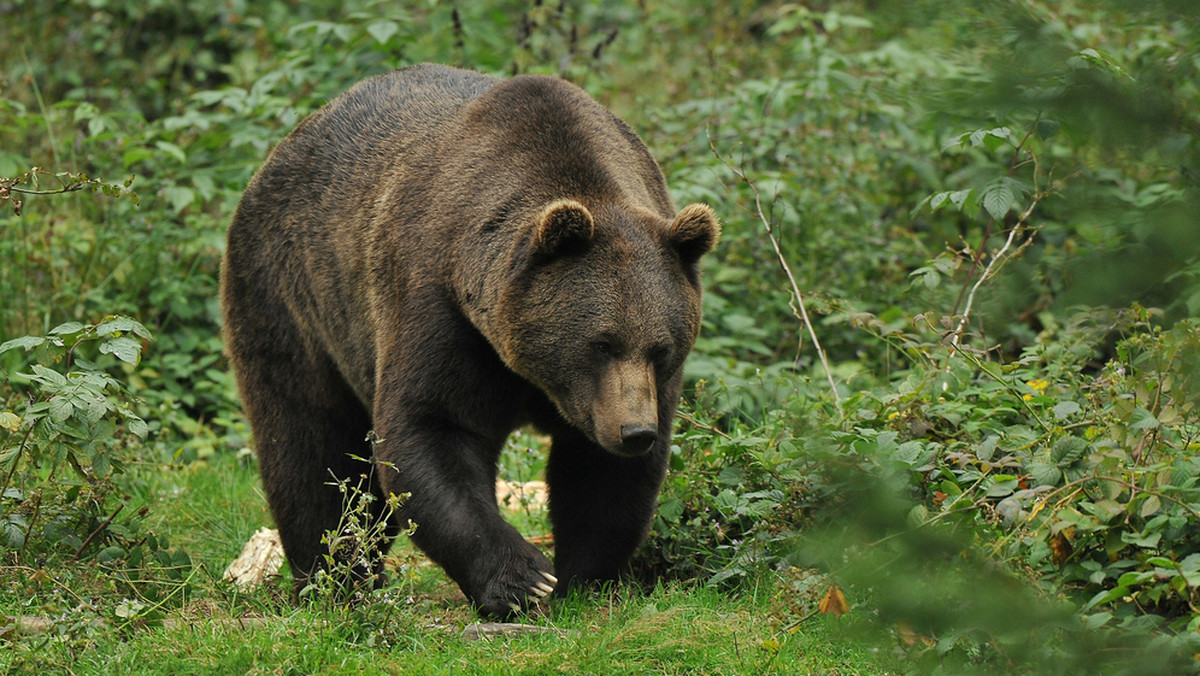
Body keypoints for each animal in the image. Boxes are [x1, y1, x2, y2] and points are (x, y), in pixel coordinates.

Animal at [220, 64, 715, 619]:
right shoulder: (441, 306)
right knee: (311, 444)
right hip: (291, 293)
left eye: (661, 348)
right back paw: (334, 577)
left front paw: (584, 578)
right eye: (600, 343)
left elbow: (598, 476)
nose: (635, 431)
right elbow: (431, 428)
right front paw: (524, 579)